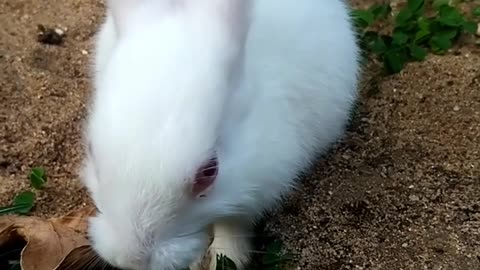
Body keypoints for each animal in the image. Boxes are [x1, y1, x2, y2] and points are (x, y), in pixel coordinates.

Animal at [80, 0, 360, 270]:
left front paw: (224, 259)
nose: (131, 260)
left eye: (209, 172)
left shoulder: (256, 184)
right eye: (92, 152)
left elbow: (231, 222)